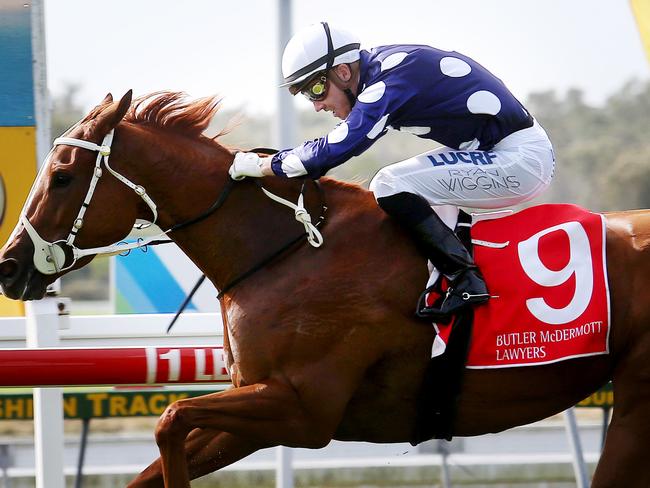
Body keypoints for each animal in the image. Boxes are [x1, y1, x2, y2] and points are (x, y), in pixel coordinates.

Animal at [1, 90, 648, 484]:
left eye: (62, 176)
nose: (9, 266)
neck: (285, 249)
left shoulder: (302, 409)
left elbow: (171, 418)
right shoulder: (260, 403)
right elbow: (160, 454)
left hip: (635, 403)